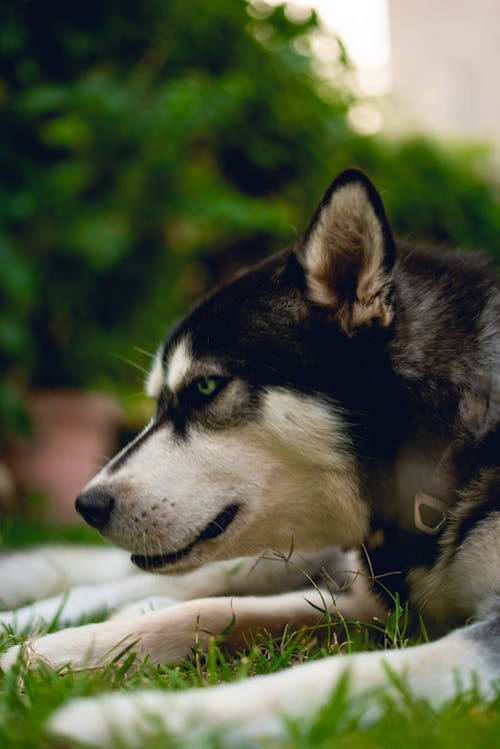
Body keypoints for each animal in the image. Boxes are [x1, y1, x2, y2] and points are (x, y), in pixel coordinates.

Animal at [0, 169, 500, 744]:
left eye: (205, 387)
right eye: (157, 400)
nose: (88, 505)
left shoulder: (382, 619)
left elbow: (342, 673)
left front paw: (136, 719)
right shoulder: (364, 603)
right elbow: (205, 609)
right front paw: (38, 657)